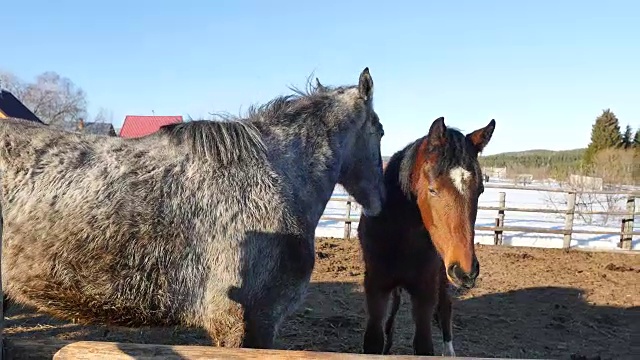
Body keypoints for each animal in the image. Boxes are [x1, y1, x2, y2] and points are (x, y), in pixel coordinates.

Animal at [358, 116, 498, 356]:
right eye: (433, 189)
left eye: (480, 190)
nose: (466, 271)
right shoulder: (376, 287)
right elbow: (374, 341)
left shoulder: (424, 292)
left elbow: (424, 345)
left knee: (445, 308)